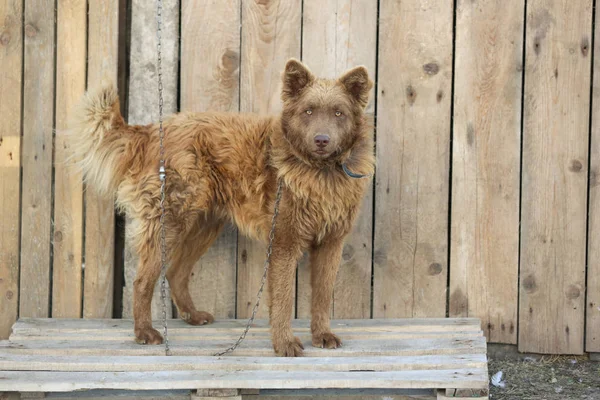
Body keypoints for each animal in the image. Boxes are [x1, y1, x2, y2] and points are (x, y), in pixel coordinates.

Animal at [68, 59, 372, 356]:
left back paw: (191, 316)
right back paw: (145, 332)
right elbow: (283, 298)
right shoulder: (284, 242)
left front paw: (322, 335)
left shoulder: (331, 244)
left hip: (203, 226)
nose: (322, 140)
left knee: (175, 272)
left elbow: (322, 295)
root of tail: (152, 131)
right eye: (308, 111)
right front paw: (284, 343)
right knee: (143, 280)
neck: (321, 173)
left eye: (339, 113)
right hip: (171, 223)